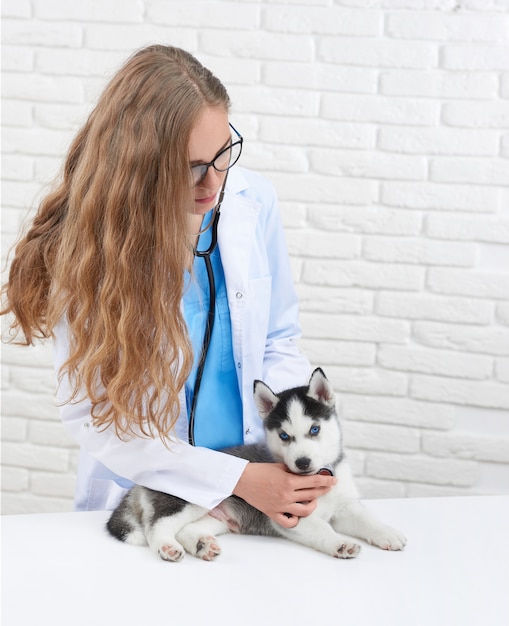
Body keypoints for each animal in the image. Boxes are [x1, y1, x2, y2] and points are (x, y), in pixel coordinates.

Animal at [106, 368, 404, 560]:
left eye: (315, 429)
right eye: (284, 436)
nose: (302, 462)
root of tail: (140, 484)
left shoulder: (345, 506)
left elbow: (367, 518)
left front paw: (388, 534)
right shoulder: (291, 515)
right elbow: (322, 528)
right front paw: (340, 543)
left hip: (219, 517)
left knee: (188, 529)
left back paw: (202, 545)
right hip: (187, 500)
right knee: (156, 527)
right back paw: (167, 548)